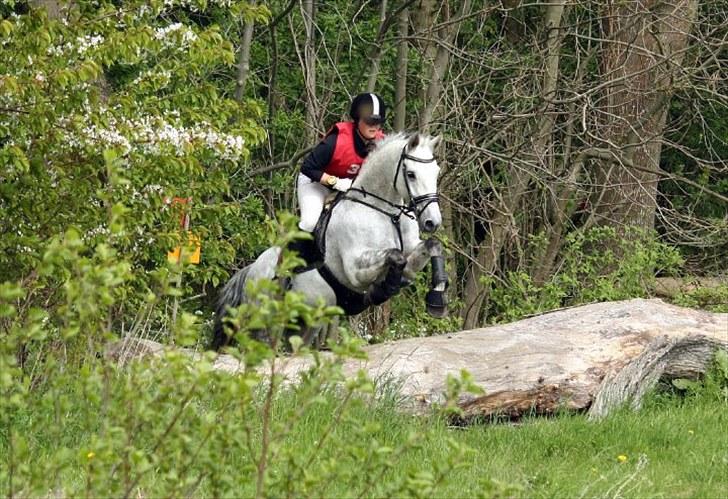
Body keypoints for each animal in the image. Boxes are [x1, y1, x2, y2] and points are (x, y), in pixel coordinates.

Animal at [212, 134, 450, 352]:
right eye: (411, 174)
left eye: (436, 172)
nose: (432, 222)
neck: (385, 212)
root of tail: (252, 270)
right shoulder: (354, 270)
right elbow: (394, 256)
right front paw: (383, 289)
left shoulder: (411, 247)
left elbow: (431, 246)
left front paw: (437, 297)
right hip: (266, 322)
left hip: (306, 323)